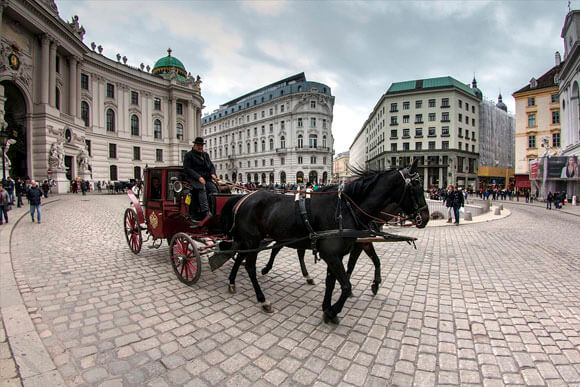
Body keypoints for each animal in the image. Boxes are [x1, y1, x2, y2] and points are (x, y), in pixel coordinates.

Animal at [218, 161, 426, 324]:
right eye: (416, 184)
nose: (425, 217)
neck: (344, 209)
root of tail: (243, 198)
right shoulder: (333, 254)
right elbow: (346, 285)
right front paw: (333, 310)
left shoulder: (336, 254)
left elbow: (332, 282)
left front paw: (327, 307)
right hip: (253, 239)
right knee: (250, 266)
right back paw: (262, 299)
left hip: (249, 240)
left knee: (240, 258)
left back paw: (232, 282)